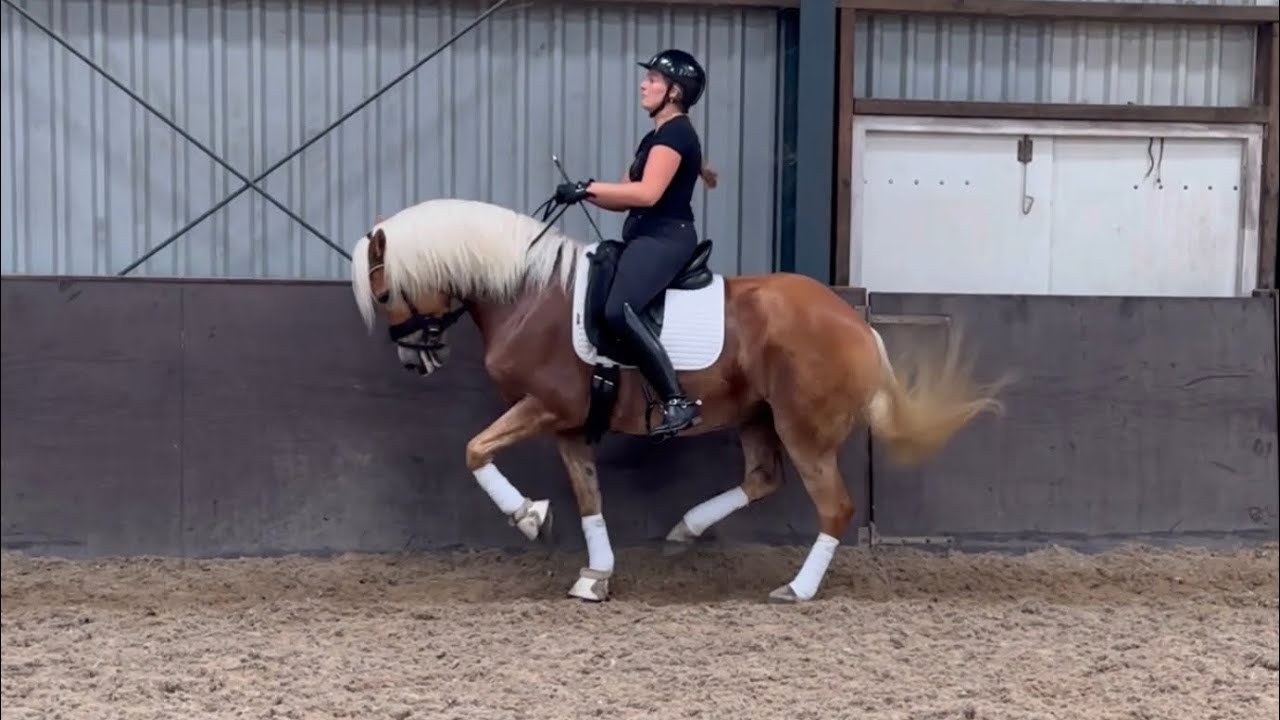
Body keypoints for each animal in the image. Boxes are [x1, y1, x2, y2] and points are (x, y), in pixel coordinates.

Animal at [350, 196, 1007, 603]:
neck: (531, 295)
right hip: (755, 418)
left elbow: (475, 450)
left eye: (382, 293)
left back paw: (797, 589)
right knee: (762, 479)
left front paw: (528, 516)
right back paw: (686, 529)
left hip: (804, 429)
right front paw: (595, 575)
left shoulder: (545, 407)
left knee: (835, 508)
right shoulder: (569, 427)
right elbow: (588, 497)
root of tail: (855, 320)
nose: (414, 359)